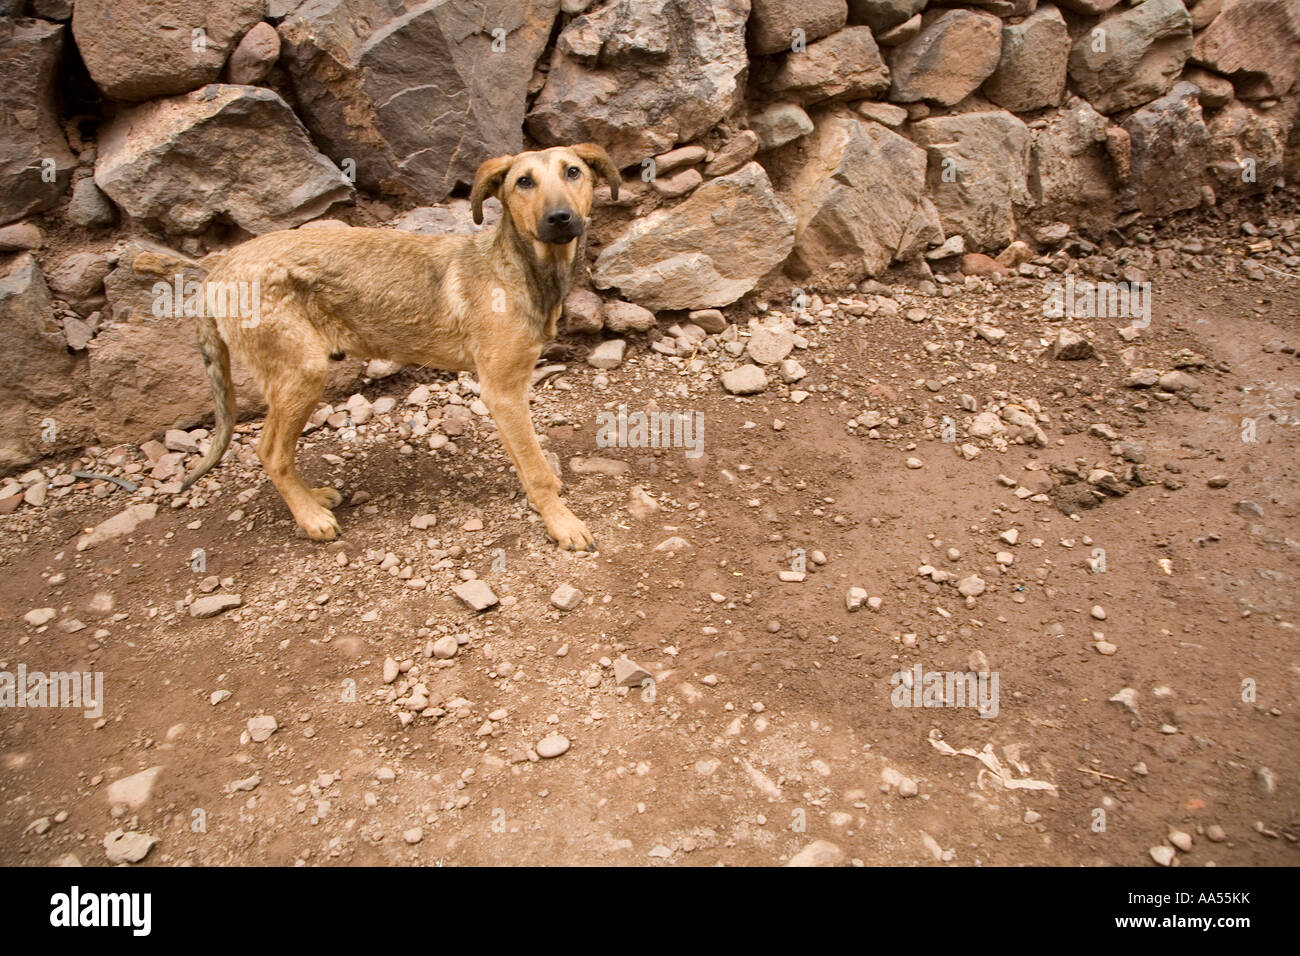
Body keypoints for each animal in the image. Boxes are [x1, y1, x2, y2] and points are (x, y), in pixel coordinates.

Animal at [163, 141, 618, 546]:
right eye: (524, 181)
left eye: (572, 172)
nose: (560, 218)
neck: (518, 268)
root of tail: (218, 270)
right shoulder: (502, 389)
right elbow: (535, 466)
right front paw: (561, 521)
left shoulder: (509, 389)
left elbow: (526, 457)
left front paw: (543, 499)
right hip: (303, 372)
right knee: (270, 451)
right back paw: (310, 516)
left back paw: (313, 498)